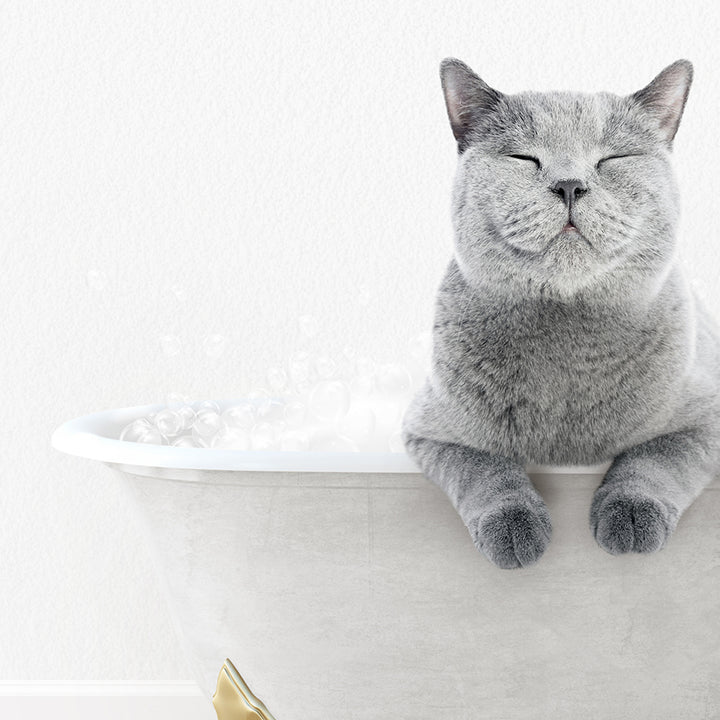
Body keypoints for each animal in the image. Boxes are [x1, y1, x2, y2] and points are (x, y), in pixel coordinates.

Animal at [400, 57, 720, 568]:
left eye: (612, 159)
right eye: (523, 158)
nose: (570, 185)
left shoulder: (706, 416)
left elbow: (656, 458)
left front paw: (630, 517)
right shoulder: (431, 430)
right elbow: (484, 468)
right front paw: (515, 528)